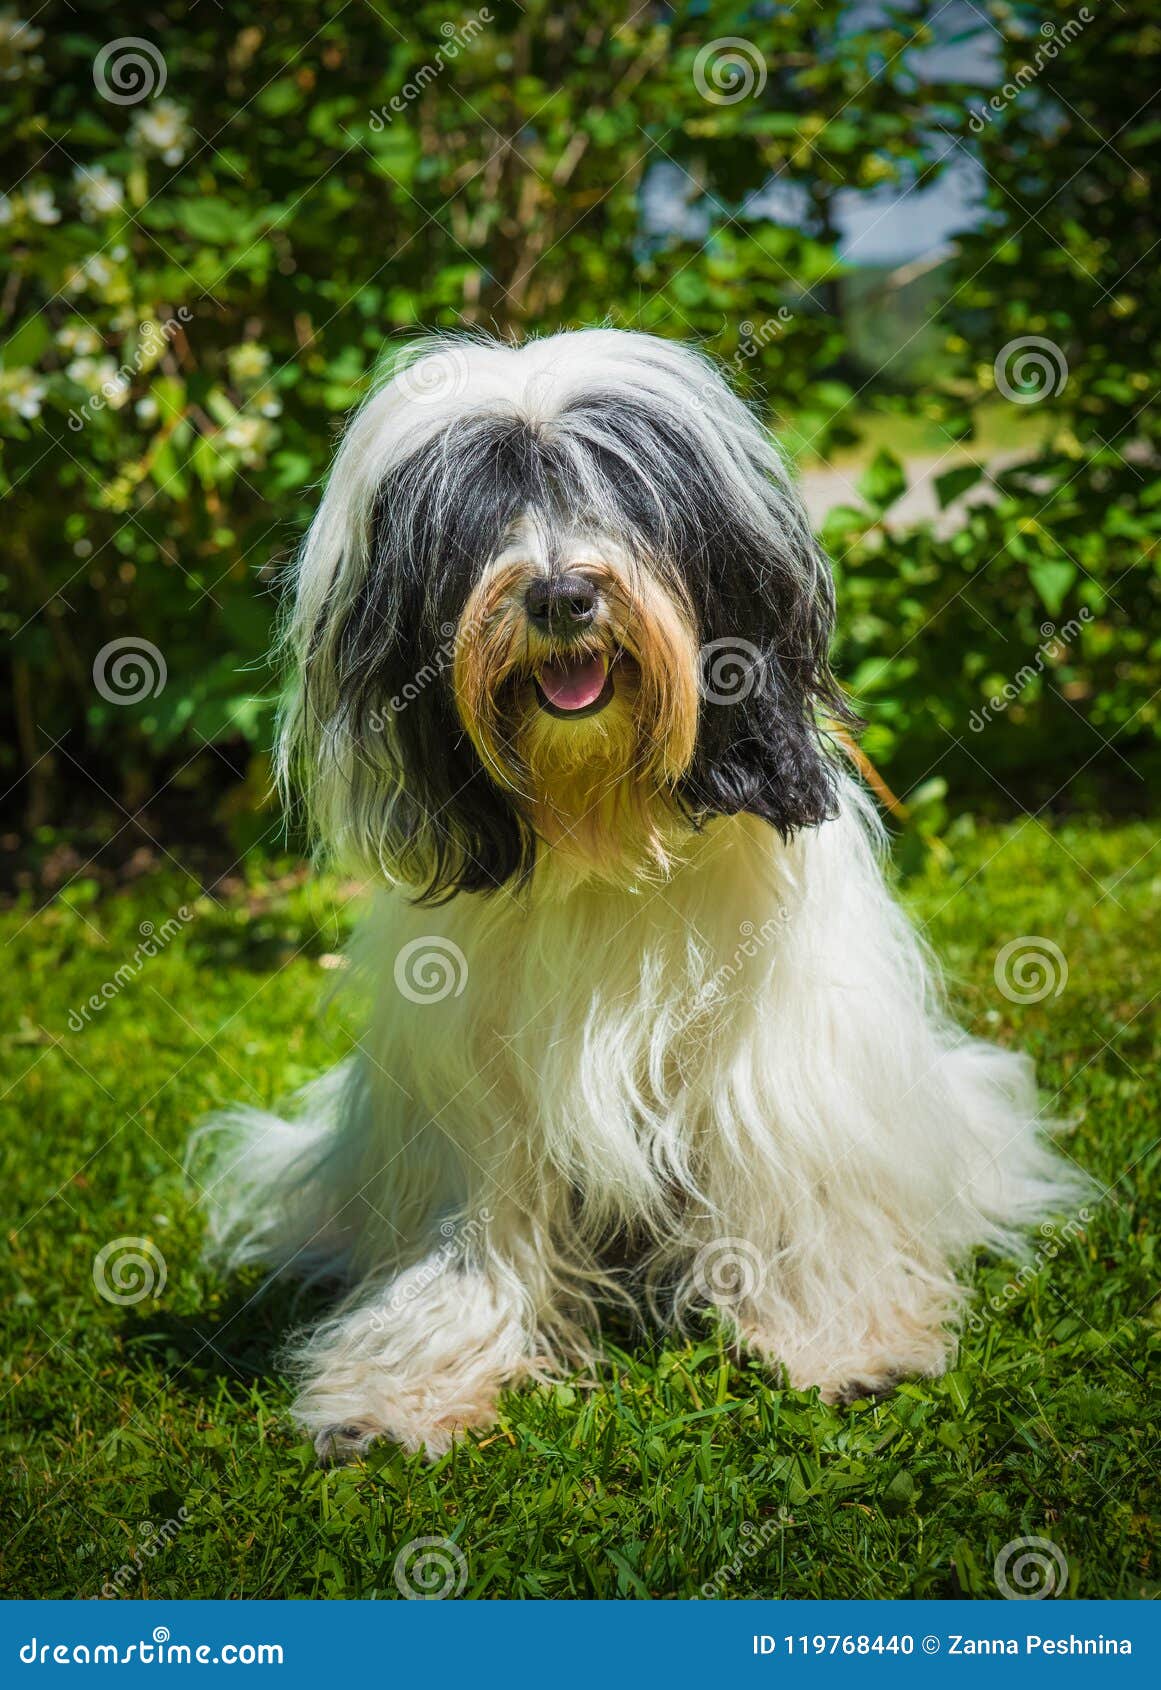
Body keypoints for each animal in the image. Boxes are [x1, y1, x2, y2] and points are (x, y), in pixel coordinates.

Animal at [197, 322, 1081, 1460]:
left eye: (616, 495)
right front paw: (408, 1387)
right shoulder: (478, 1095)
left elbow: (787, 1177)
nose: (560, 596)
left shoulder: (770, 1055)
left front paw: (846, 1341)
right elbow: (477, 1234)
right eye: (482, 516)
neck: (602, 826)